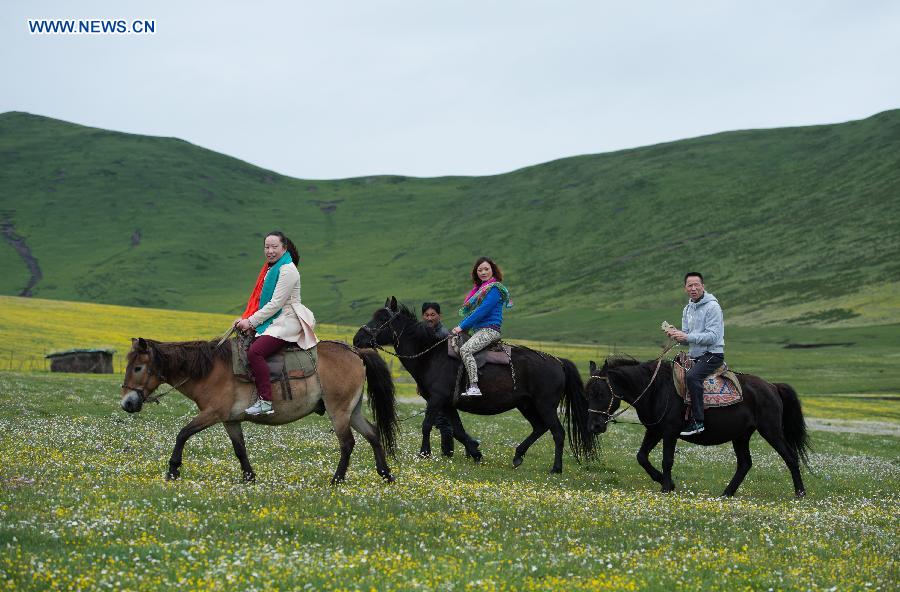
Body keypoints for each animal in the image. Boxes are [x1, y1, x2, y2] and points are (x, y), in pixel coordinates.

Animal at [119, 336, 398, 484]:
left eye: (138, 368)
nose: (127, 403)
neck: (210, 370)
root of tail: (355, 351)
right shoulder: (230, 420)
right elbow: (239, 449)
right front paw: (249, 477)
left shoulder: (212, 414)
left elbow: (183, 433)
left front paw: (173, 469)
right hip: (353, 411)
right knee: (373, 434)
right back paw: (386, 475)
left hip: (339, 411)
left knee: (348, 443)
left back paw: (337, 480)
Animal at [354, 298, 596, 474]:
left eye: (382, 318)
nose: (357, 339)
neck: (431, 356)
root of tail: (558, 361)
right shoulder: (448, 404)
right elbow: (459, 432)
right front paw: (476, 453)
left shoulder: (437, 400)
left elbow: (426, 425)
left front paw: (424, 454)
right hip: (526, 405)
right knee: (539, 427)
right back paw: (518, 456)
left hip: (545, 405)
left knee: (557, 432)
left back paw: (556, 468)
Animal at [588, 358, 812, 498]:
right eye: (589, 392)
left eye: (601, 393)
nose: (594, 426)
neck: (655, 390)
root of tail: (772, 386)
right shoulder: (654, 430)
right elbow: (641, 457)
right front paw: (666, 483)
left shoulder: (669, 432)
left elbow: (667, 460)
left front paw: (666, 488)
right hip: (741, 436)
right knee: (745, 464)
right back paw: (726, 494)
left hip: (771, 431)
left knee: (790, 457)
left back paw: (800, 493)